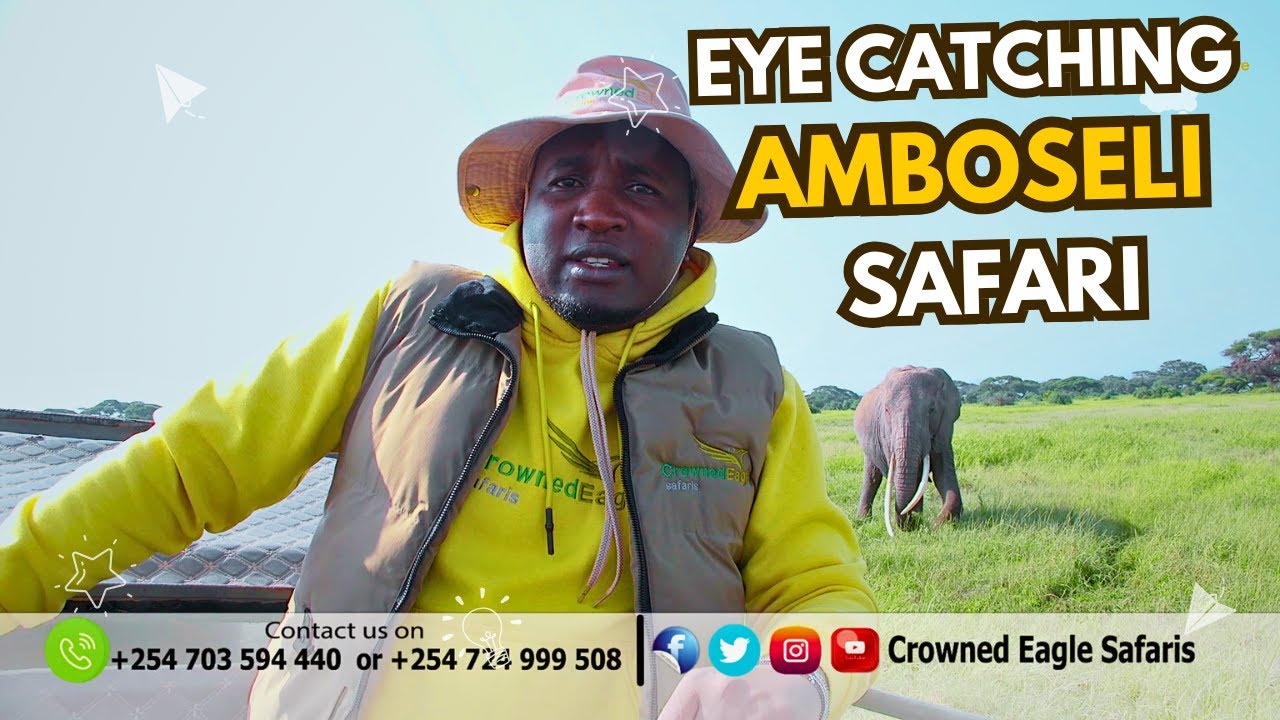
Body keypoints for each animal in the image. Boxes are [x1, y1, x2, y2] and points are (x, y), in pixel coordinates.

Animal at [854, 366, 963, 534]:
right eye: (886, 410)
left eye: (932, 410)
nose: (914, 525)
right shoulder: (886, 434)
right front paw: (918, 522)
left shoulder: (943, 427)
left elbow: (942, 473)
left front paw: (935, 524)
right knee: (872, 477)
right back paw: (863, 520)